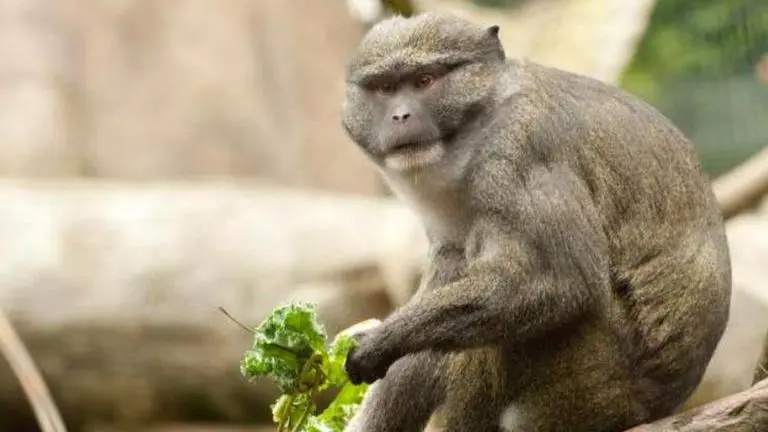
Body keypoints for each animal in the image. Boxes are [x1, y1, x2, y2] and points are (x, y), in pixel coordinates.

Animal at [339, 11, 732, 432]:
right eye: (384, 88)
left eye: (425, 80)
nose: (401, 115)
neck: (476, 131)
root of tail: (658, 406)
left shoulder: (521, 152)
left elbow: (560, 282)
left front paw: (383, 340)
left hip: (591, 382)